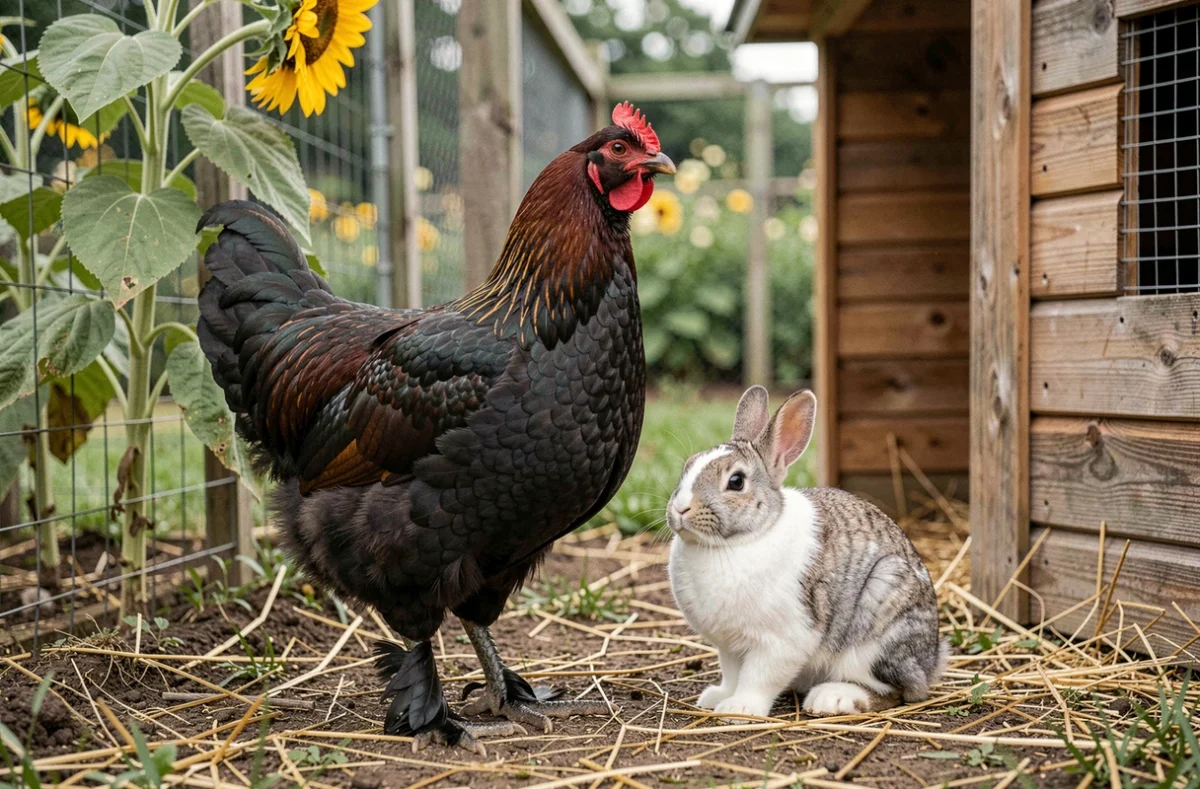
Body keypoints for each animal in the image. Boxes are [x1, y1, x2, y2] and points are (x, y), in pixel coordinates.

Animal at [666, 386, 948, 719]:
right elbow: (732, 674)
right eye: (688, 465)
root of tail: (930, 661)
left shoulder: (782, 641)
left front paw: (740, 708)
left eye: (736, 482)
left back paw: (833, 699)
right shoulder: (730, 647)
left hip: (879, 622)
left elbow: (758, 678)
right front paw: (718, 697)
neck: (737, 541)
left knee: (894, 691)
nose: (680, 508)